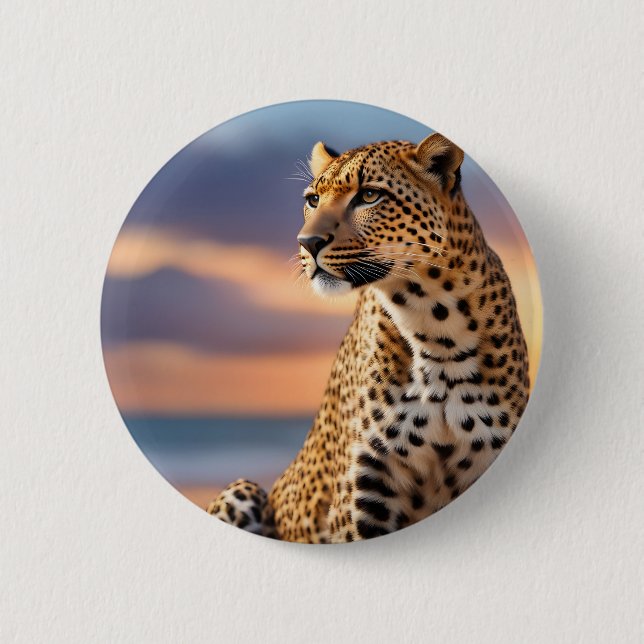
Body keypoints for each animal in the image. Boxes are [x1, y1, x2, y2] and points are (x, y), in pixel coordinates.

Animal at [207, 133, 530, 543]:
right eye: (313, 200)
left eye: (370, 196)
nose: (307, 242)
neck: (437, 330)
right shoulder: (364, 494)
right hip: (243, 488)